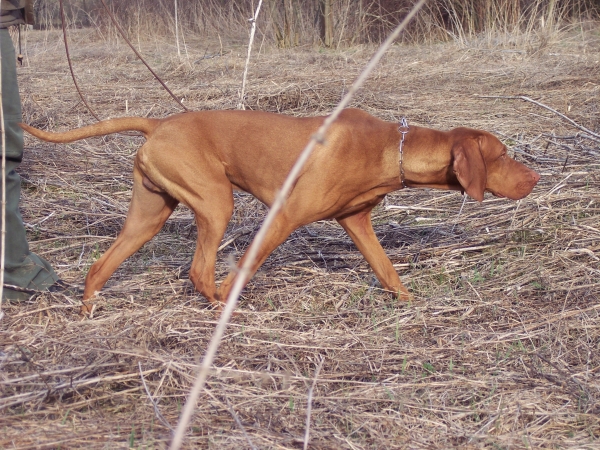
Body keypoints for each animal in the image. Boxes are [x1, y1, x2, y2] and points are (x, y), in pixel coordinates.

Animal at [20, 108, 540, 314]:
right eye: (501, 155)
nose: (534, 178)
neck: (390, 148)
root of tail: (159, 122)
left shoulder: (357, 222)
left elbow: (388, 270)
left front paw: (410, 302)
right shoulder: (283, 217)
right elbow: (244, 267)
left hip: (148, 216)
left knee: (99, 265)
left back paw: (88, 311)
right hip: (216, 202)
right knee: (200, 272)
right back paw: (221, 308)